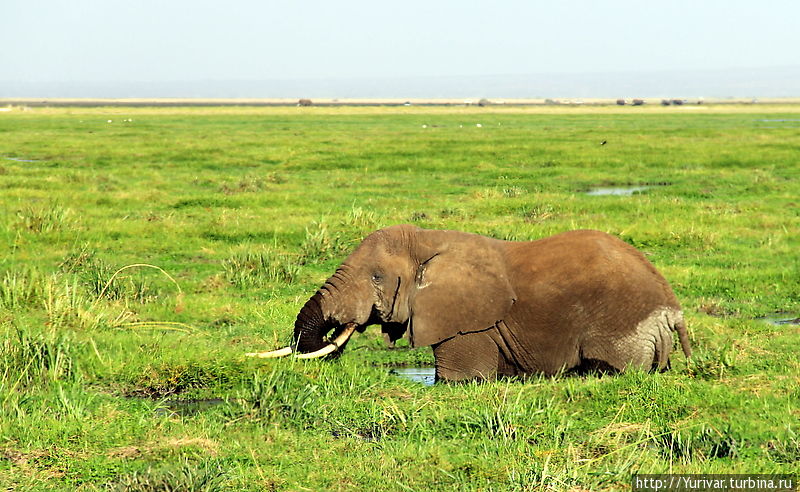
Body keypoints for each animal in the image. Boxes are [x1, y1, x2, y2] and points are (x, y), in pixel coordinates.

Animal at [252, 225, 692, 382]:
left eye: (376, 277)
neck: (427, 241)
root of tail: (673, 308)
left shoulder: (468, 322)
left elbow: (459, 379)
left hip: (624, 326)